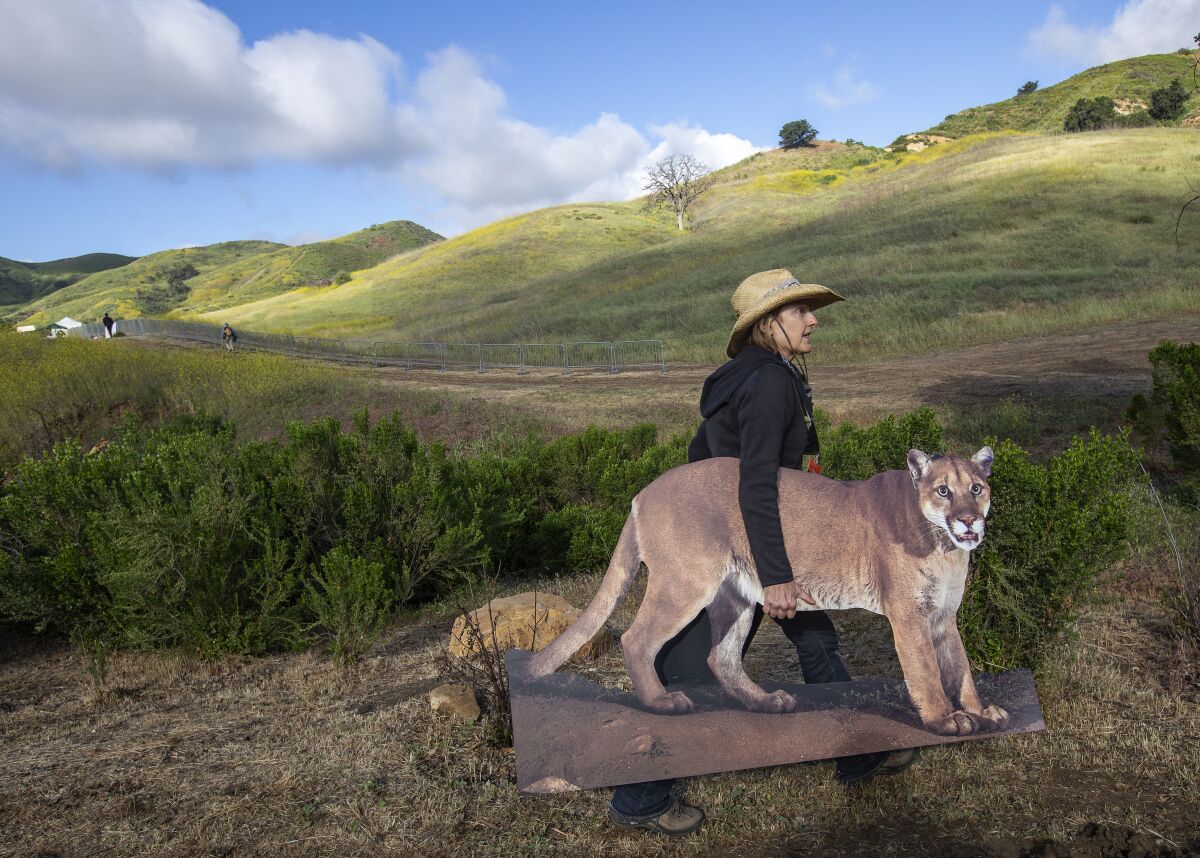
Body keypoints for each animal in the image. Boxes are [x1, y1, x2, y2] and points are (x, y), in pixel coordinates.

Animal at [530, 448, 1008, 739]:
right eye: (943, 490)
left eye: (977, 488)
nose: (968, 520)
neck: (945, 547)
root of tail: (642, 492)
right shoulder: (909, 614)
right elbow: (927, 670)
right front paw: (944, 719)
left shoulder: (943, 616)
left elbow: (960, 667)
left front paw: (980, 710)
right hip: (686, 583)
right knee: (636, 639)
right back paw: (662, 702)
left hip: (736, 595)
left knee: (720, 656)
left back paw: (764, 702)